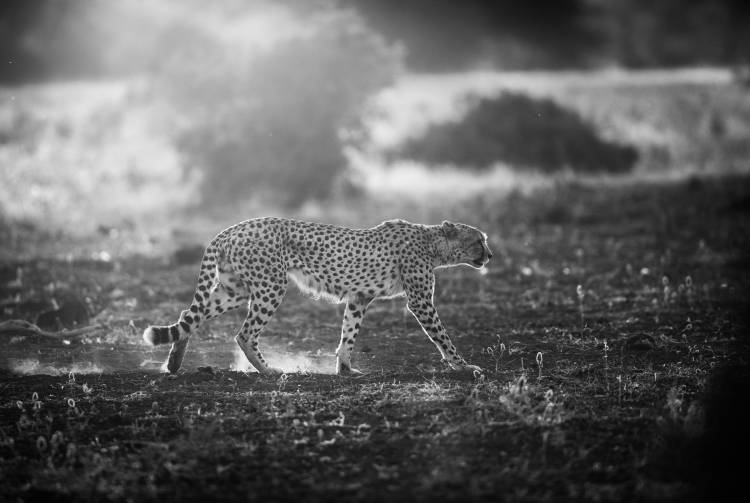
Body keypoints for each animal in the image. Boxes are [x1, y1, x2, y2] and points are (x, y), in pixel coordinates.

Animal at [142, 217, 493, 376]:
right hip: (271, 285)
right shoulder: (420, 301)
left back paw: (173, 363)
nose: (490, 255)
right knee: (244, 333)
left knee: (188, 317)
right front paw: (464, 366)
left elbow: (348, 334)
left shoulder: (359, 298)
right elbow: (442, 336)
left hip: (234, 289)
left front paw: (346, 369)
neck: (433, 243)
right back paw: (268, 370)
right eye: (479, 240)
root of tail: (231, 228)